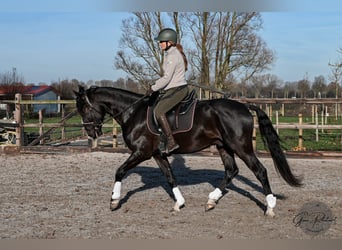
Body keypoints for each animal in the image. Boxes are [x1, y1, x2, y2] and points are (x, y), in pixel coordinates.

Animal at [75, 85, 302, 216]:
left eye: (83, 107)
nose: (91, 132)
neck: (134, 112)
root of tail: (245, 107)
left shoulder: (141, 153)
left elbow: (119, 171)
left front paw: (114, 201)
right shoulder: (158, 155)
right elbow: (170, 177)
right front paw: (179, 203)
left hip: (241, 147)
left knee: (260, 171)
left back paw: (270, 207)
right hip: (224, 146)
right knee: (231, 171)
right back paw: (211, 200)